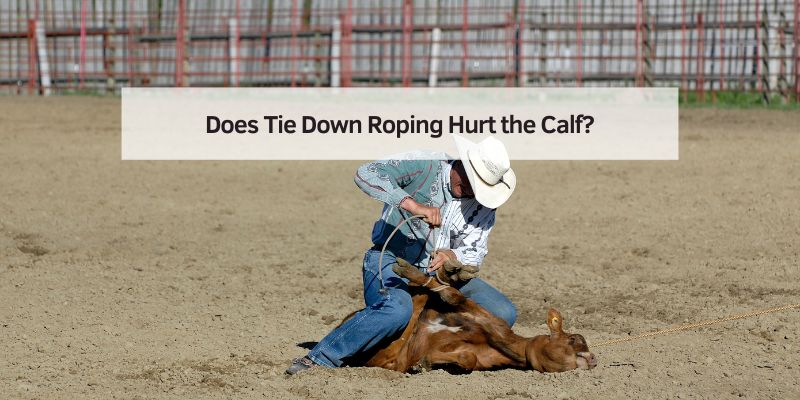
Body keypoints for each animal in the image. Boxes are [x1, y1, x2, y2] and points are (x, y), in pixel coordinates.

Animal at [342, 258, 598, 373]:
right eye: (574, 338)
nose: (593, 358)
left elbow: (468, 359)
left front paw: (424, 363)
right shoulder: (481, 315)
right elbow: (454, 296)